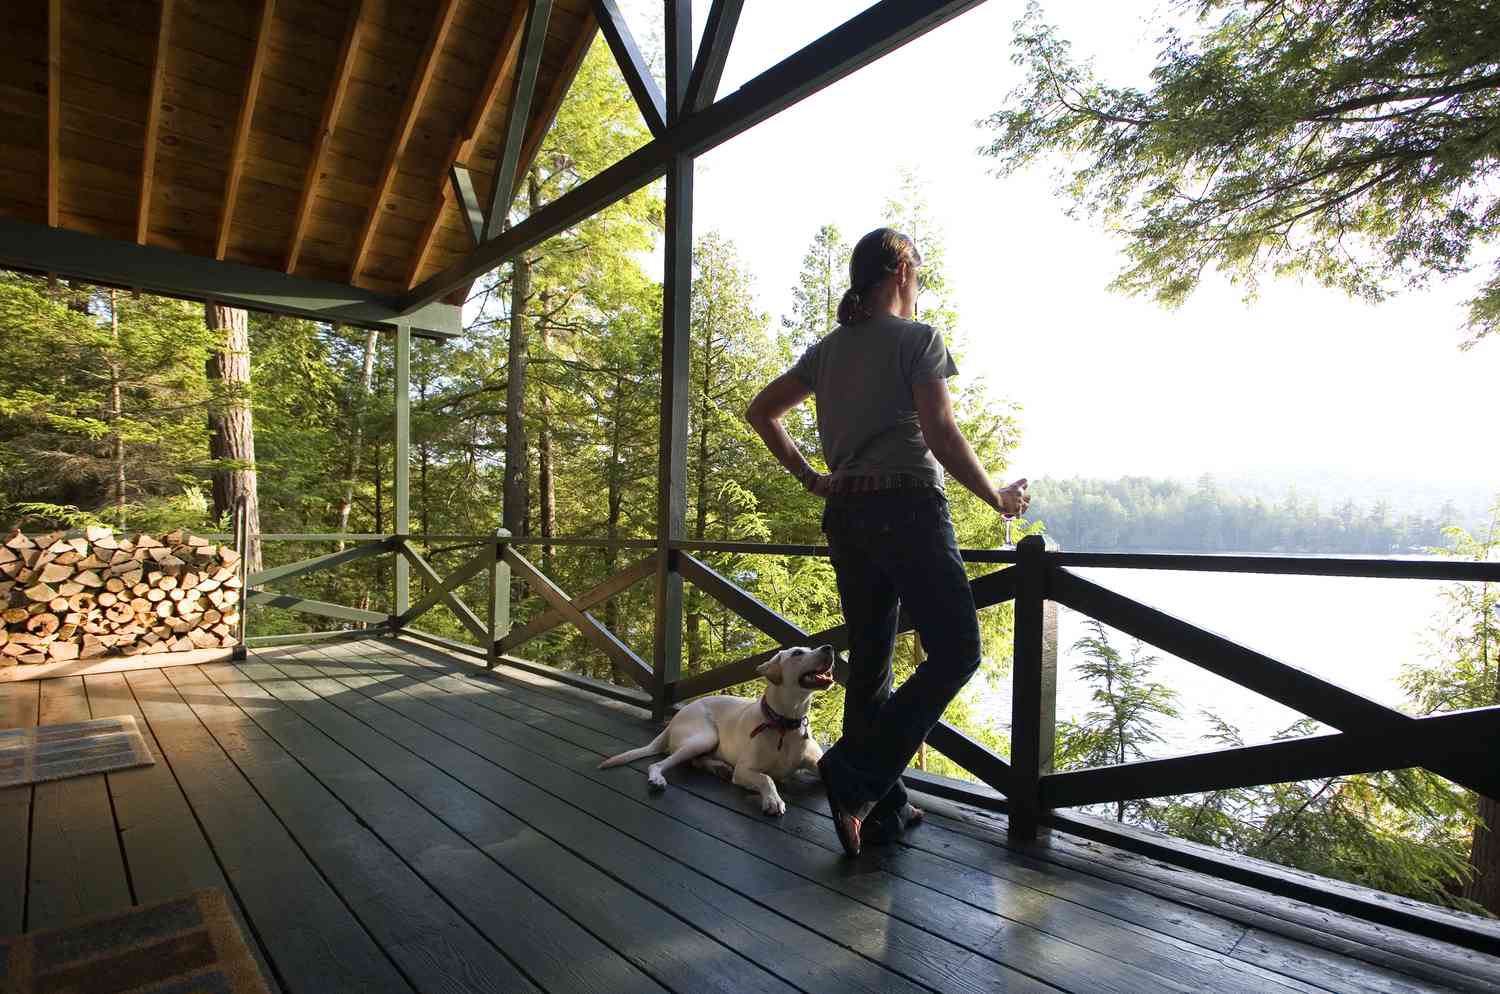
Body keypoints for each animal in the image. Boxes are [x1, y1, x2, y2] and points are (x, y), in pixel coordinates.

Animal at [597, 644, 840, 815]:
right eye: (798, 652)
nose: (829, 647)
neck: (785, 723)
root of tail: (675, 718)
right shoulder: (744, 770)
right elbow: (766, 778)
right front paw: (772, 799)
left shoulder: (820, 765)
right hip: (705, 737)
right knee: (659, 763)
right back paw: (659, 779)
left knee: (696, 761)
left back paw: (719, 767)